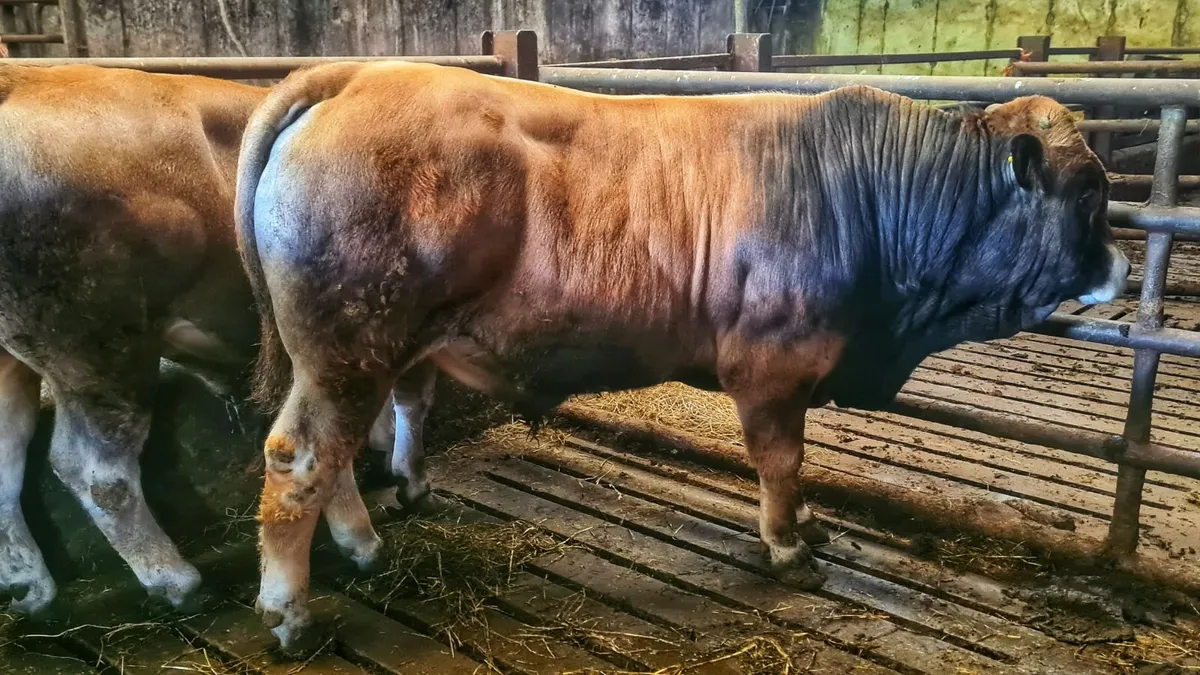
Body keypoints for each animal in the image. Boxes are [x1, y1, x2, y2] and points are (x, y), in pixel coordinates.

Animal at [0, 64, 403, 618]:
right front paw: (363, 540)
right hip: (98, 351)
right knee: (94, 470)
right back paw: (176, 580)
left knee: (7, 460)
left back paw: (30, 588)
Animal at [234, 61, 1130, 653]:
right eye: (1089, 192)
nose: (1120, 268)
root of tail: (352, 73)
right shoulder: (772, 367)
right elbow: (780, 460)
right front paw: (788, 546)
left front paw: (807, 523)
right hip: (348, 346)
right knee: (298, 456)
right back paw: (289, 611)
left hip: (359, 353)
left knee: (346, 449)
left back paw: (364, 543)